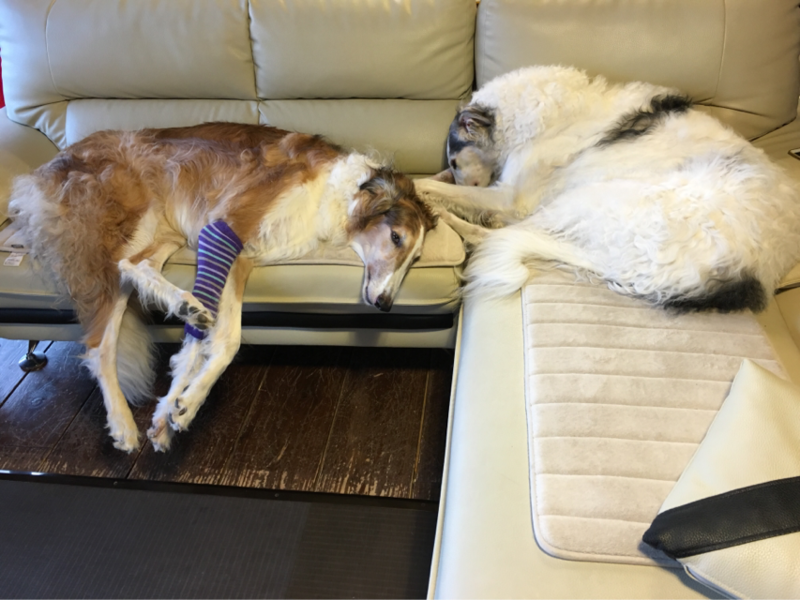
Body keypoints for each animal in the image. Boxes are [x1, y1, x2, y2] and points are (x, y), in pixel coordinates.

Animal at [8, 122, 437, 452]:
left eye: (416, 259)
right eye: (396, 238)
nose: (385, 304)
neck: (337, 192)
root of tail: (40, 172)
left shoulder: (242, 258)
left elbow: (212, 342)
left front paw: (172, 412)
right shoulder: (222, 228)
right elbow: (217, 342)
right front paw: (185, 403)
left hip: (165, 233)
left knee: (137, 267)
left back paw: (186, 307)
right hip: (134, 216)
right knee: (104, 333)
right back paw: (122, 425)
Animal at [415, 65, 800, 312]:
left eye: (455, 162)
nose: (452, 172)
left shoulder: (512, 196)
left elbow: (429, 186)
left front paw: (418, 191)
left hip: (592, 199)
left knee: (489, 236)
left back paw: (447, 216)